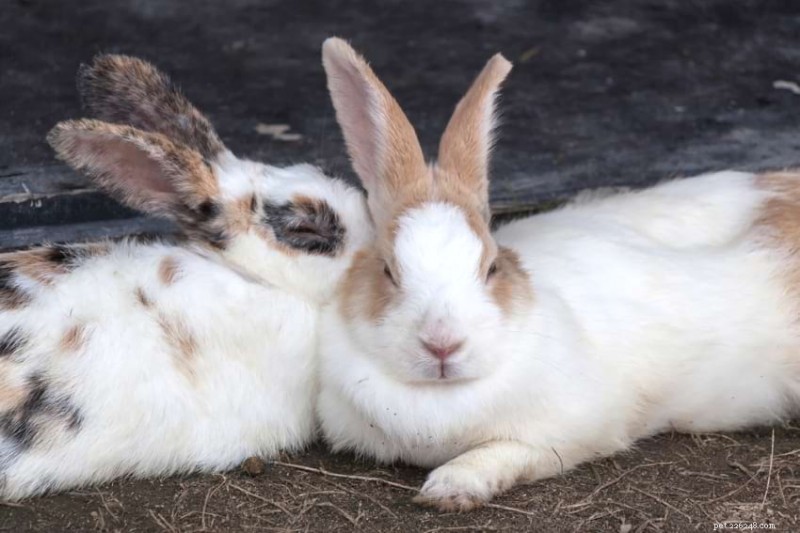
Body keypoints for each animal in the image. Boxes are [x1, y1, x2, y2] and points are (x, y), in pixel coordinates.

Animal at [315, 38, 800, 511]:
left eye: (491, 267)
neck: (439, 397)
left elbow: (504, 450)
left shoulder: (571, 433)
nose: (442, 345)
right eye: (388, 270)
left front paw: (451, 488)